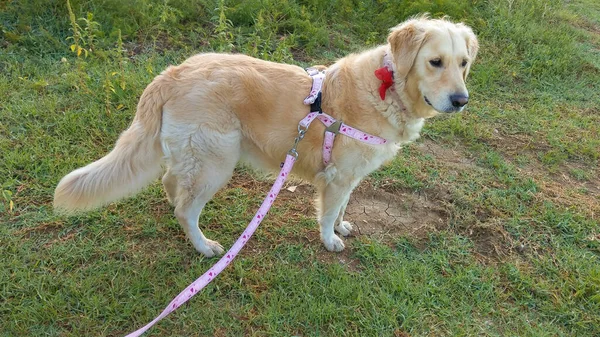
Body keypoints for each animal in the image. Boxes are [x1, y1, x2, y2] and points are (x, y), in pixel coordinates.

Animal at [55, 17, 478, 256]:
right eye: (434, 62)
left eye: (463, 63)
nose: (461, 101)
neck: (388, 89)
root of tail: (171, 73)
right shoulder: (337, 177)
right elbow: (327, 213)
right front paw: (330, 240)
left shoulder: (350, 177)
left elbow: (343, 209)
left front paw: (342, 226)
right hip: (216, 164)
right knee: (186, 210)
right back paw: (204, 247)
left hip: (196, 159)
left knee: (172, 184)